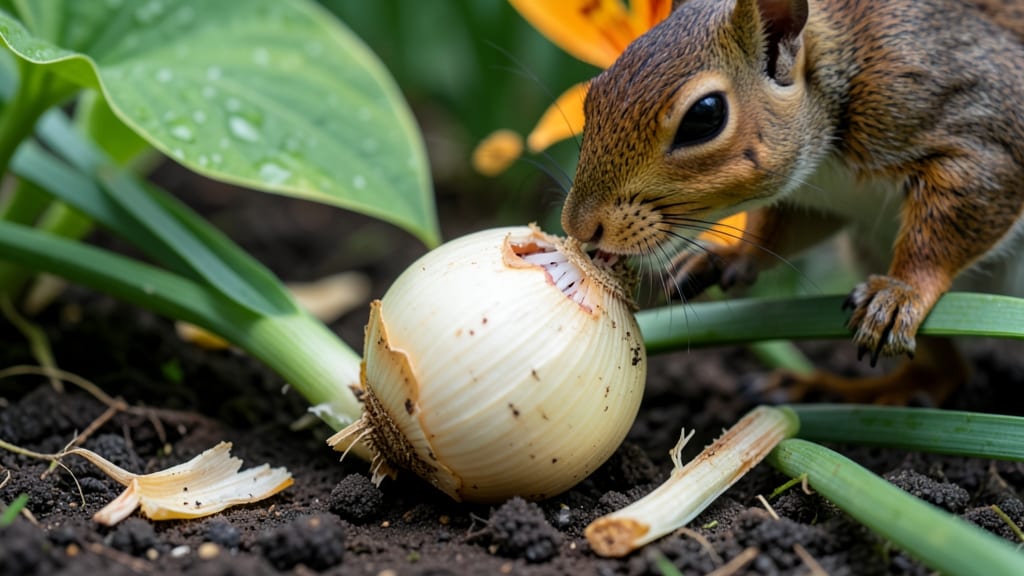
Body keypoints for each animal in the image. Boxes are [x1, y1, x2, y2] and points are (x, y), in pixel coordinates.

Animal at [561, 0, 1024, 402]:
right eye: (595, 93)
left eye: (705, 115)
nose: (579, 226)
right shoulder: (816, 199)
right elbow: (780, 233)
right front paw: (726, 257)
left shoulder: (972, 121)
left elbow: (959, 215)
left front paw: (903, 289)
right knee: (948, 372)